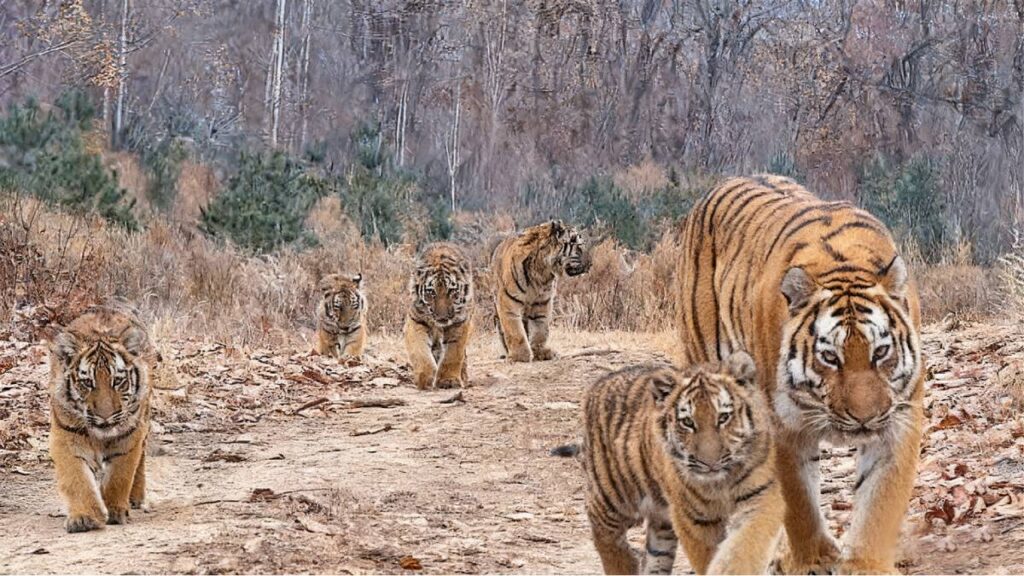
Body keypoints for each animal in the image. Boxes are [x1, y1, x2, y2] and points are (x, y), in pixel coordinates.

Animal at [47, 305, 156, 533]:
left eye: (118, 381)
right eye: (87, 382)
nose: (105, 417)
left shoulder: (129, 437)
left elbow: (119, 476)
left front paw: (116, 511)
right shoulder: (66, 438)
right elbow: (77, 479)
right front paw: (84, 518)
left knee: (140, 460)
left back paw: (135, 498)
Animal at [404, 242, 474, 390]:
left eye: (452, 291)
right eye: (431, 292)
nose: (442, 317)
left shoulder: (460, 323)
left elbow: (453, 353)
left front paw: (449, 380)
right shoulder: (416, 321)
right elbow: (420, 351)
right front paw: (425, 378)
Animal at [490, 219, 590, 362]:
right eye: (578, 245)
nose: (590, 263)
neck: (542, 271)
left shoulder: (542, 302)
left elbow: (540, 329)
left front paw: (540, 352)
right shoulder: (508, 302)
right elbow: (514, 330)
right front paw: (520, 356)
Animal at [564, 352, 782, 575]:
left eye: (723, 417)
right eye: (687, 422)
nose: (710, 463)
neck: (721, 482)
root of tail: (600, 381)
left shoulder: (760, 496)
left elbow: (744, 546)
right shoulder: (694, 519)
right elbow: (708, 555)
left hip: (661, 523)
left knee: (655, 555)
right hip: (611, 496)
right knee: (604, 533)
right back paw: (623, 563)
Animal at [675, 174, 924, 574]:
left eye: (881, 352)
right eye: (829, 357)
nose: (865, 418)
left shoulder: (899, 419)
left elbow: (880, 502)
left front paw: (865, 564)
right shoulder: (783, 426)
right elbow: (799, 502)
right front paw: (815, 559)